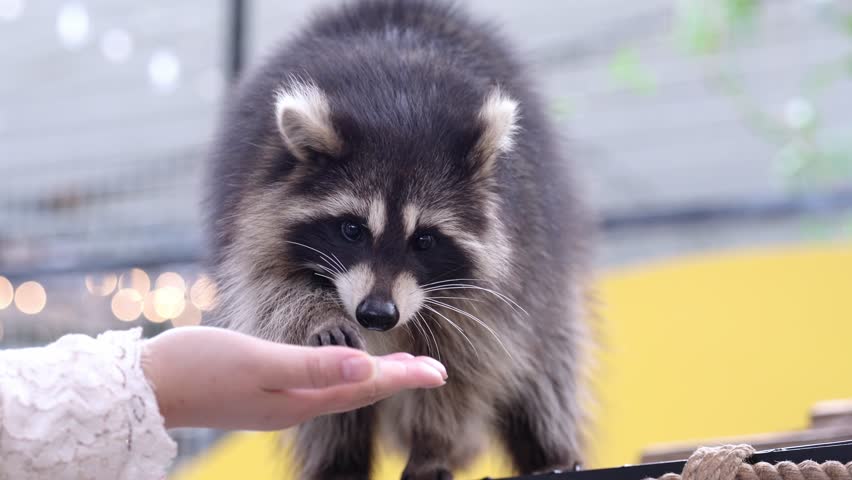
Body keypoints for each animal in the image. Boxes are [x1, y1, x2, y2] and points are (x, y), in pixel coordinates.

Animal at [205, 0, 593, 478]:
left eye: (424, 240)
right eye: (352, 230)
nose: (376, 314)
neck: (400, 105)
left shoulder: (514, 258)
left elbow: (466, 366)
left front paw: (432, 445)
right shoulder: (256, 204)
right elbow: (270, 290)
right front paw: (318, 316)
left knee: (548, 366)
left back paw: (548, 451)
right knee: (327, 420)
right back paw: (338, 460)